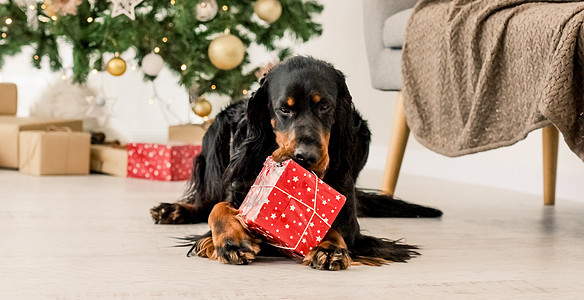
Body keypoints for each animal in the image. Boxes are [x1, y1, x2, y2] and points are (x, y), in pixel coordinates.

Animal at [151, 55, 442, 270]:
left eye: (324, 106)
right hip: (215, 134)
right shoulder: (241, 187)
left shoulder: (345, 204)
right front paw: (232, 241)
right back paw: (174, 210)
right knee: (207, 200)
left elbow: (337, 225)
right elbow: (219, 208)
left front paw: (330, 247)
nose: (306, 156)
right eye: (284, 109)